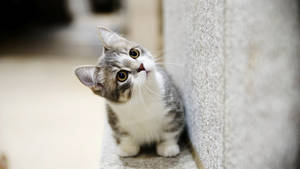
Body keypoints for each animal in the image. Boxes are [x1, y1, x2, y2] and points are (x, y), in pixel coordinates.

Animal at [74, 26, 184, 157]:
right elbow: (124, 135)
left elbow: (171, 130)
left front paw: (168, 146)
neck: (142, 97)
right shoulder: (114, 118)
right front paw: (127, 148)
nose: (141, 66)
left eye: (134, 53)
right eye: (122, 75)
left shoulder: (173, 107)